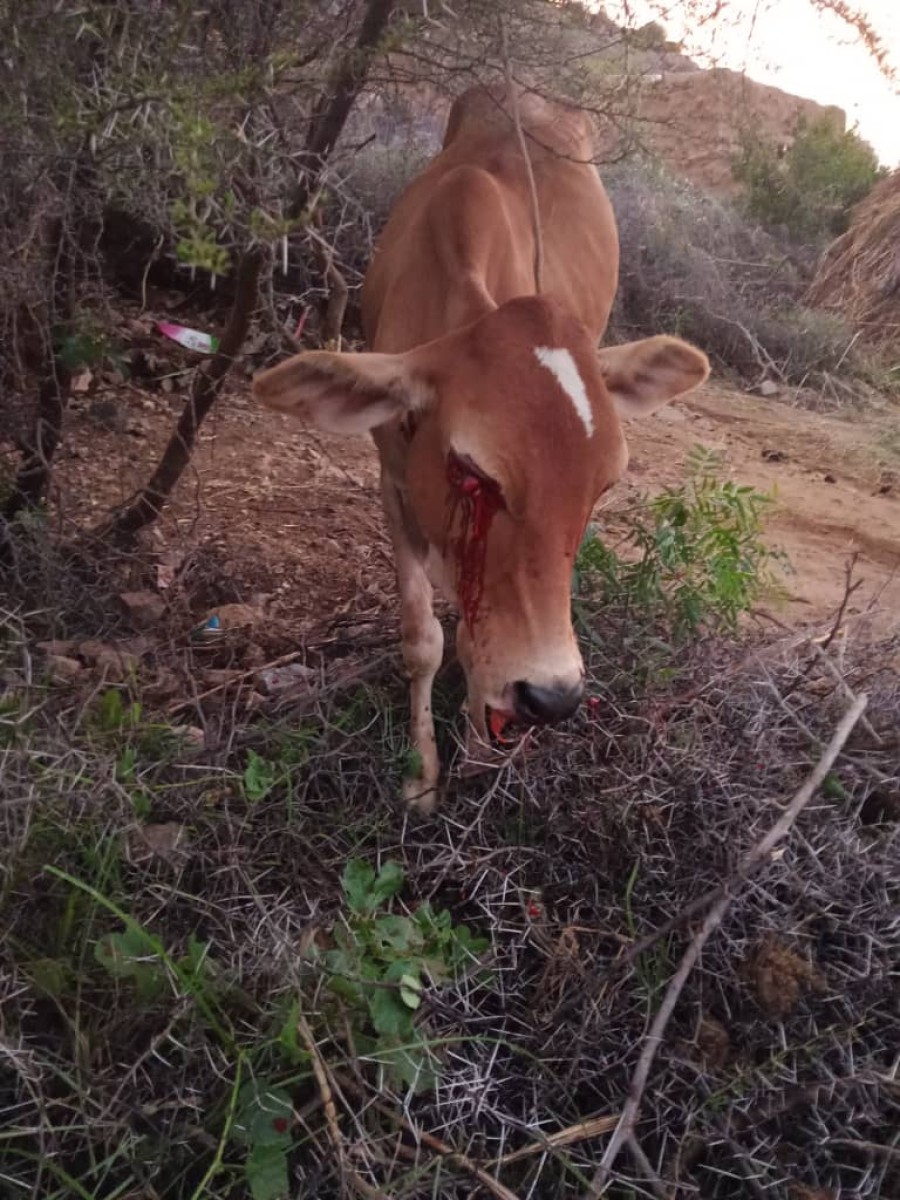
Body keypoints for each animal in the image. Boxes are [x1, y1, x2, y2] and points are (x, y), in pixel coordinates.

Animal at [254, 88, 710, 811]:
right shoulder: (395, 485)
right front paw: (422, 775)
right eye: (470, 472)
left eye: (603, 486)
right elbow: (425, 639)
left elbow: (477, 638)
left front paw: (477, 752)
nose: (553, 696)